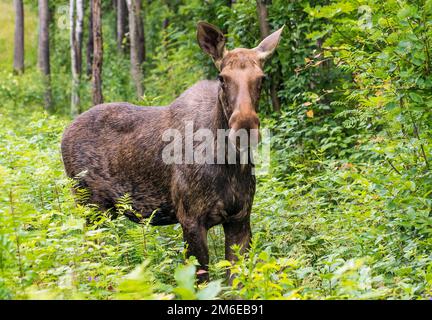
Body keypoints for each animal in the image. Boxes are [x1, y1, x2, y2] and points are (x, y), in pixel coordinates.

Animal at [60, 21, 284, 282]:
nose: (245, 126)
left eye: (262, 78)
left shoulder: (240, 218)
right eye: (222, 78)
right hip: (90, 206)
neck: (229, 164)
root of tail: (64, 134)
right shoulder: (190, 219)